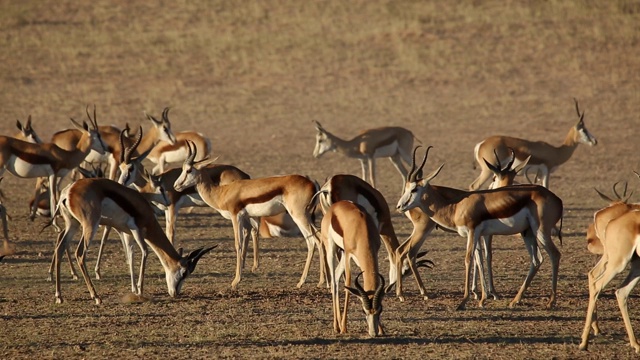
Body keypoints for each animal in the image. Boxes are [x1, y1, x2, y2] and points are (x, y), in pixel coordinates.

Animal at [51, 177, 214, 304]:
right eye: (184, 273)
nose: (176, 293)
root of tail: (69, 191)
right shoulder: (136, 230)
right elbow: (144, 252)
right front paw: (140, 292)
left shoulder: (126, 233)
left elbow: (130, 255)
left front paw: (134, 289)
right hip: (90, 225)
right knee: (79, 254)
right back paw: (96, 297)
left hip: (72, 224)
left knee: (60, 248)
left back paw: (59, 296)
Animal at [174, 141, 320, 290]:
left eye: (188, 170)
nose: (176, 186)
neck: (222, 192)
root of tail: (312, 185)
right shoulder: (246, 218)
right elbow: (247, 238)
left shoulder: (236, 217)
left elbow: (238, 244)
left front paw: (235, 281)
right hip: (305, 216)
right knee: (316, 239)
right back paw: (313, 282)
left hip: (299, 216)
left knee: (315, 240)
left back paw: (310, 282)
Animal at [320, 201, 390, 336]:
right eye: (363, 311)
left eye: (380, 310)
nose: (373, 333)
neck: (362, 230)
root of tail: (334, 207)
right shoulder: (348, 254)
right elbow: (348, 284)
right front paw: (344, 328)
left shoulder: (374, 252)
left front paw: (382, 330)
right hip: (332, 249)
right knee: (333, 281)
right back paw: (337, 326)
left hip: (341, 255)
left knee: (336, 276)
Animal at [398, 146, 564, 310]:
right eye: (406, 188)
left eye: (414, 189)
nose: (400, 206)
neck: (456, 206)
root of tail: (558, 199)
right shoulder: (479, 234)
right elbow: (479, 259)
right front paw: (482, 299)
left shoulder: (474, 232)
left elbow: (469, 259)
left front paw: (464, 301)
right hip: (528, 232)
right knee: (537, 260)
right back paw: (515, 301)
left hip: (540, 231)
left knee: (554, 255)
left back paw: (550, 302)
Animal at [468, 97, 596, 190]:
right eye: (584, 130)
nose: (595, 141)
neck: (556, 151)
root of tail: (481, 144)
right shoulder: (546, 171)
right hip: (488, 170)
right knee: (474, 186)